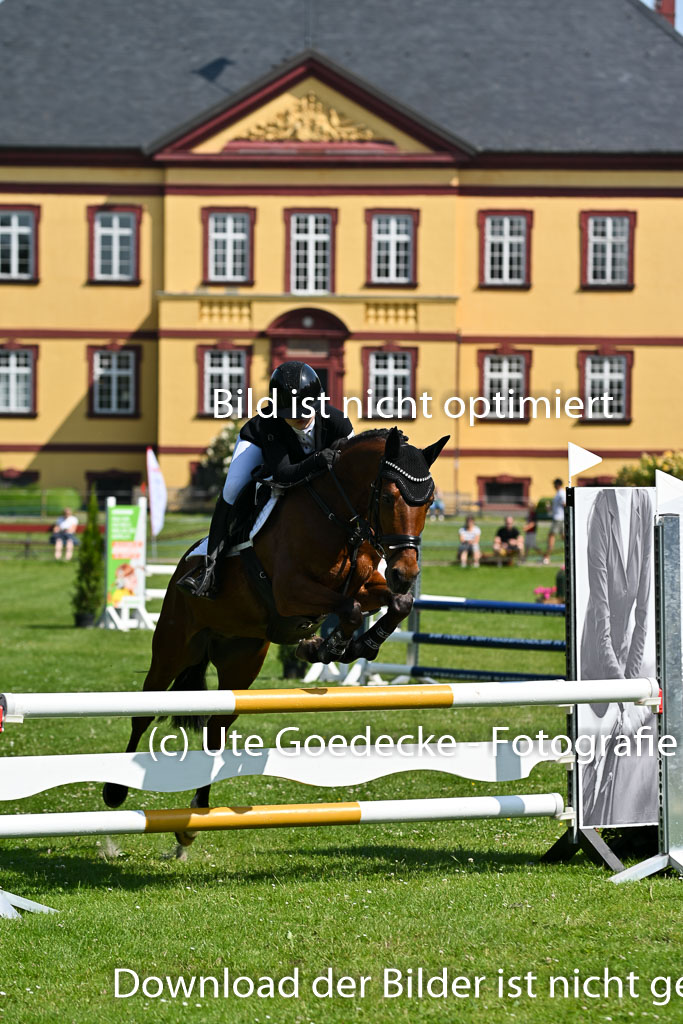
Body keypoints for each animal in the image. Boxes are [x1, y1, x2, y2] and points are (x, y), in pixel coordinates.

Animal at [102, 426, 448, 853]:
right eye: (387, 497)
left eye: (428, 502)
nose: (405, 572)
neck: (337, 516)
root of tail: (184, 565)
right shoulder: (291, 591)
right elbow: (349, 609)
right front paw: (327, 646)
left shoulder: (367, 585)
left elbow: (396, 604)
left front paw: (352, 646)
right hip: (173, 645)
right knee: (144, 711)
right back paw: (115, 792)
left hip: (242, 661)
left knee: (217, 727)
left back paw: (195, 818)